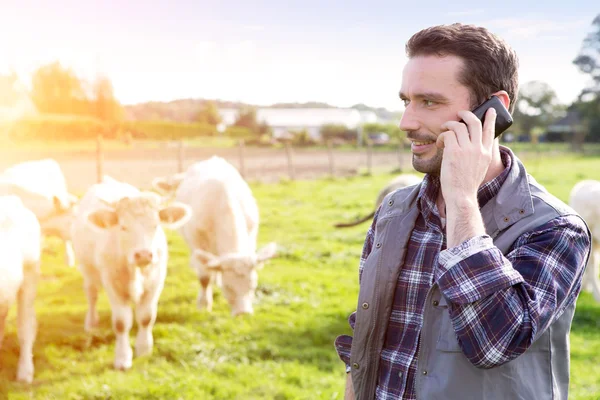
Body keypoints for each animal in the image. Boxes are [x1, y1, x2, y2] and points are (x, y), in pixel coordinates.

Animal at [70, 177, 192, 370]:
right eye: (123, 227)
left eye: (155, 225)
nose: (143, 254)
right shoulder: (112, 283)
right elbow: (121, 322)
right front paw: (122, 357)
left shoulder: (156, 282)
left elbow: (146, 317)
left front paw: (144, 349)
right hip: (87, 268)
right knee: (92, 294)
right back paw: (91, 323)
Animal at [156, 155, 278, 316]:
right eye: (228, 287)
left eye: (252, 286)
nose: (243, 313)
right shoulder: (198, 243)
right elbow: (204, 277)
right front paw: (204, 304)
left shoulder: (250, 238)